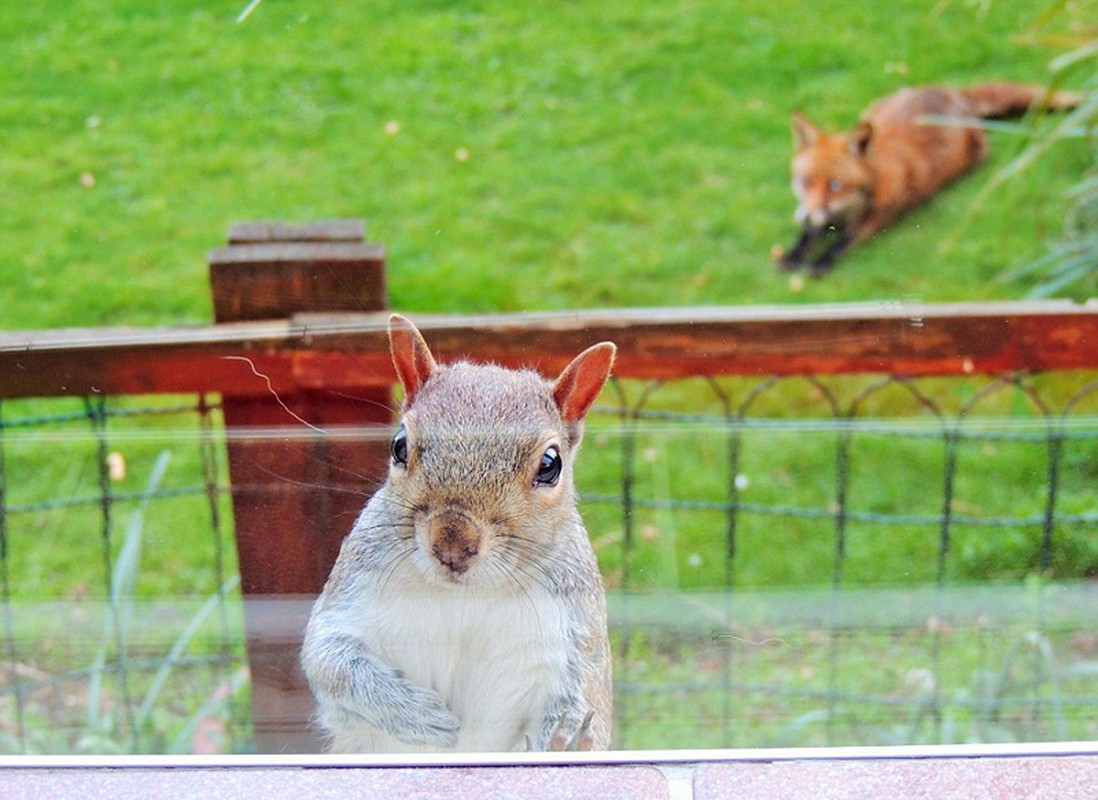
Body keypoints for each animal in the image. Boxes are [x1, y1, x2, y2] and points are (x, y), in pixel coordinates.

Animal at [300, 311, 619, 750]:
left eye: (550, 464)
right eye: (399, 445)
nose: (452, 542)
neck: (467, 593)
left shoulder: (577, 642)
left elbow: (587, 708)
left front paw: (563, 744)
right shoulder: (350, 596)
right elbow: (330, 660)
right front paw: (420, 714)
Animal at [777, 81, 1076, 274]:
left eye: (835, 185)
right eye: (805, 182)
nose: (806, 215)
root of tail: (953, 92)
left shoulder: (876, 219)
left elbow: (840, 245)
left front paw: (819, 264)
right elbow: (807, 236)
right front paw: (793, 255)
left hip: (977, 155)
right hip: (873, 111)